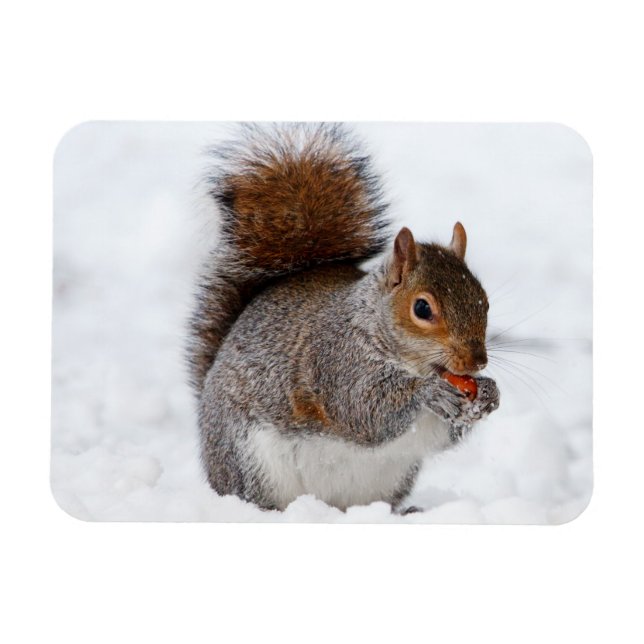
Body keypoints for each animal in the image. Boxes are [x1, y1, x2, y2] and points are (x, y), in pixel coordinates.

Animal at [187, 123, 500, 513]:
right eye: (422, 309)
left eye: (484, 301)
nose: (477, 362)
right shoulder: (336, 361)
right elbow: (363, 410)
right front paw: (429, 392)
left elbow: (444, 435)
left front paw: (489, 392)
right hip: (249, 460)